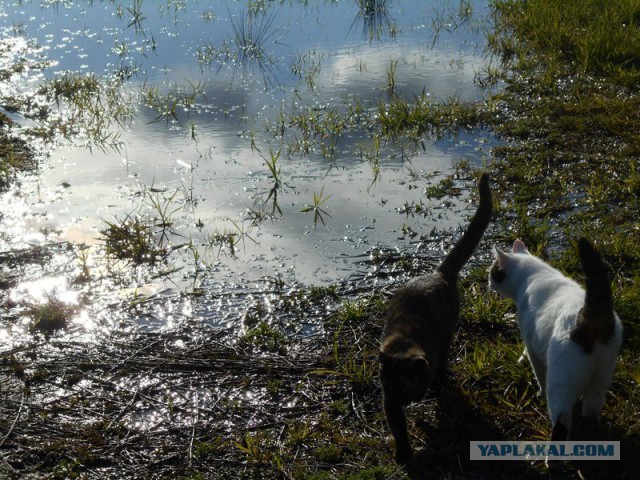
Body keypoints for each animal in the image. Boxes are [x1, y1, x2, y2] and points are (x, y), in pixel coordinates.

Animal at [378, 172, 492, 462]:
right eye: (389, 385)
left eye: (407, 385)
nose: (405, 400)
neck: (403, 341)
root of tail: (439, 273)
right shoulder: (388, 402)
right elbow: (398, 427)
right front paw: (403, 452)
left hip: (448, 332)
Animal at [490, 236, 620, 438]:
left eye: (493, 271)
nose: (488, 282)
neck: (535, 274)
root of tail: (589, 315)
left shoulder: (532, 346)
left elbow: (537, 372)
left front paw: (538, 390)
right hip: (602, 376)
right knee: (591, 410)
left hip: (561, 381)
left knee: (562, 420)